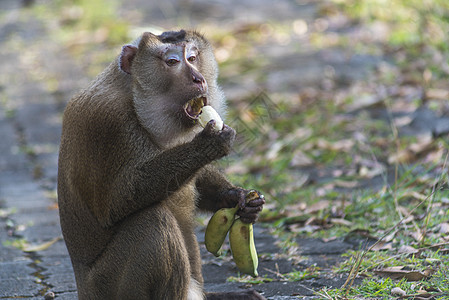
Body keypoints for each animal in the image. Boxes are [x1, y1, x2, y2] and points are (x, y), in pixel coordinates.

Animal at [57, 28, 264, 300]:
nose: (198, 79)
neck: (131, 93)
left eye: (193, 57)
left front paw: (238, 198)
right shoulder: (110, 124)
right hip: (107, 287)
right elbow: (117, 201)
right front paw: (209, 145)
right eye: (173, 62)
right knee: (153, 222)